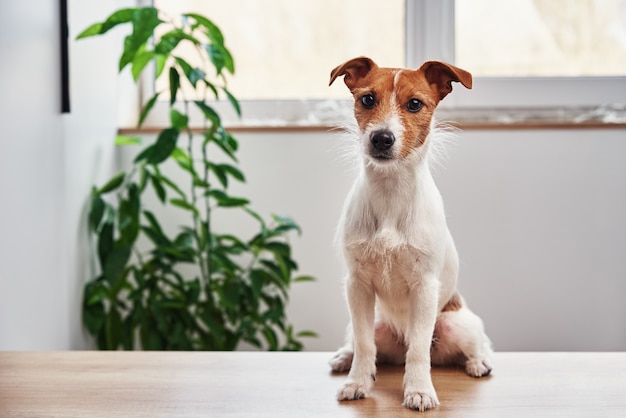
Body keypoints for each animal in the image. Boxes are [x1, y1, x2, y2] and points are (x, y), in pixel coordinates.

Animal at [326, 57, 492, 414]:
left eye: (415, 104)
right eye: (367, 99)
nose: (381, 138)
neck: (390, 193)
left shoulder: (425, 287)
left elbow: (418, 350)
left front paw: (418, 390)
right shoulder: (357, 285)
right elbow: (364, 344)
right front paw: (358, 382)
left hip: (456, 324)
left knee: (473, 345)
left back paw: (478, 363)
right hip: (373, 321)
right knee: (363, 342)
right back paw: (344, 357)